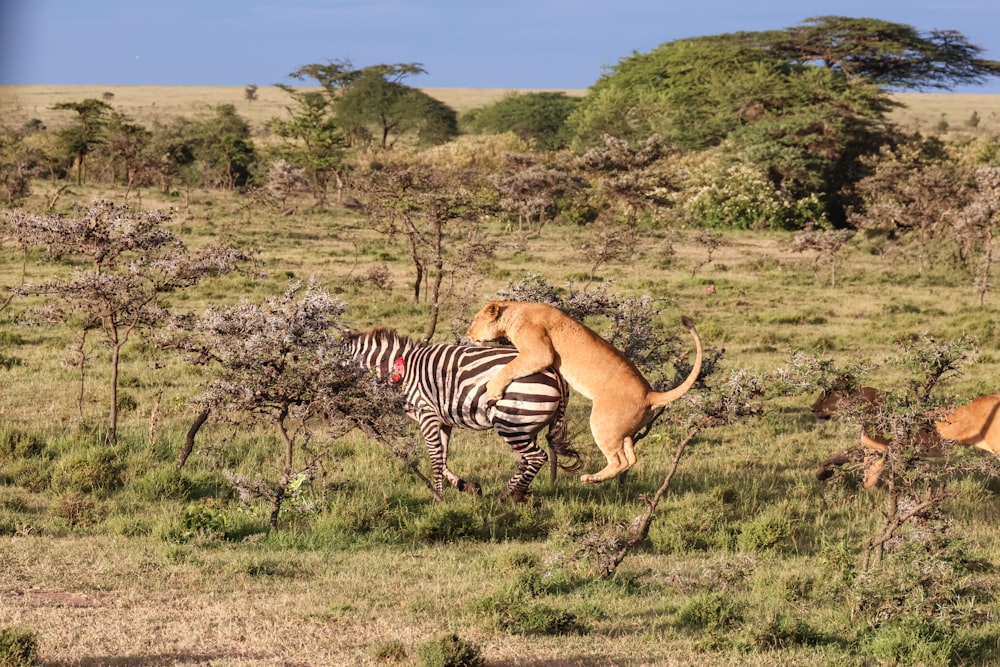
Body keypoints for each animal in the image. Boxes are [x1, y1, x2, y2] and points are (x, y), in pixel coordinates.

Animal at [346, 326, 584, 504]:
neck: (403, 370)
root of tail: (555, 372)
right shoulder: (443, 421)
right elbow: (442, 457)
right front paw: (467, 487)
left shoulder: (427, 414)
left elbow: (434, 456)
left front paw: (439, 498)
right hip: (525, 423)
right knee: (527, 458)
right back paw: (509, 495)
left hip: (510, 420)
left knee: (537, 457)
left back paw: (510, 496)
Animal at [468, 302, 704, 486]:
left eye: (475, 320)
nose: (469, 333)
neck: (516, 311)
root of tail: (650, 394)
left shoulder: (540, 352)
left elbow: (511, 367)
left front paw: (492, 389)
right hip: (624, 430)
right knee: (631, 457)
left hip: (602, 422)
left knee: (620, 461)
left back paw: (591, 478)